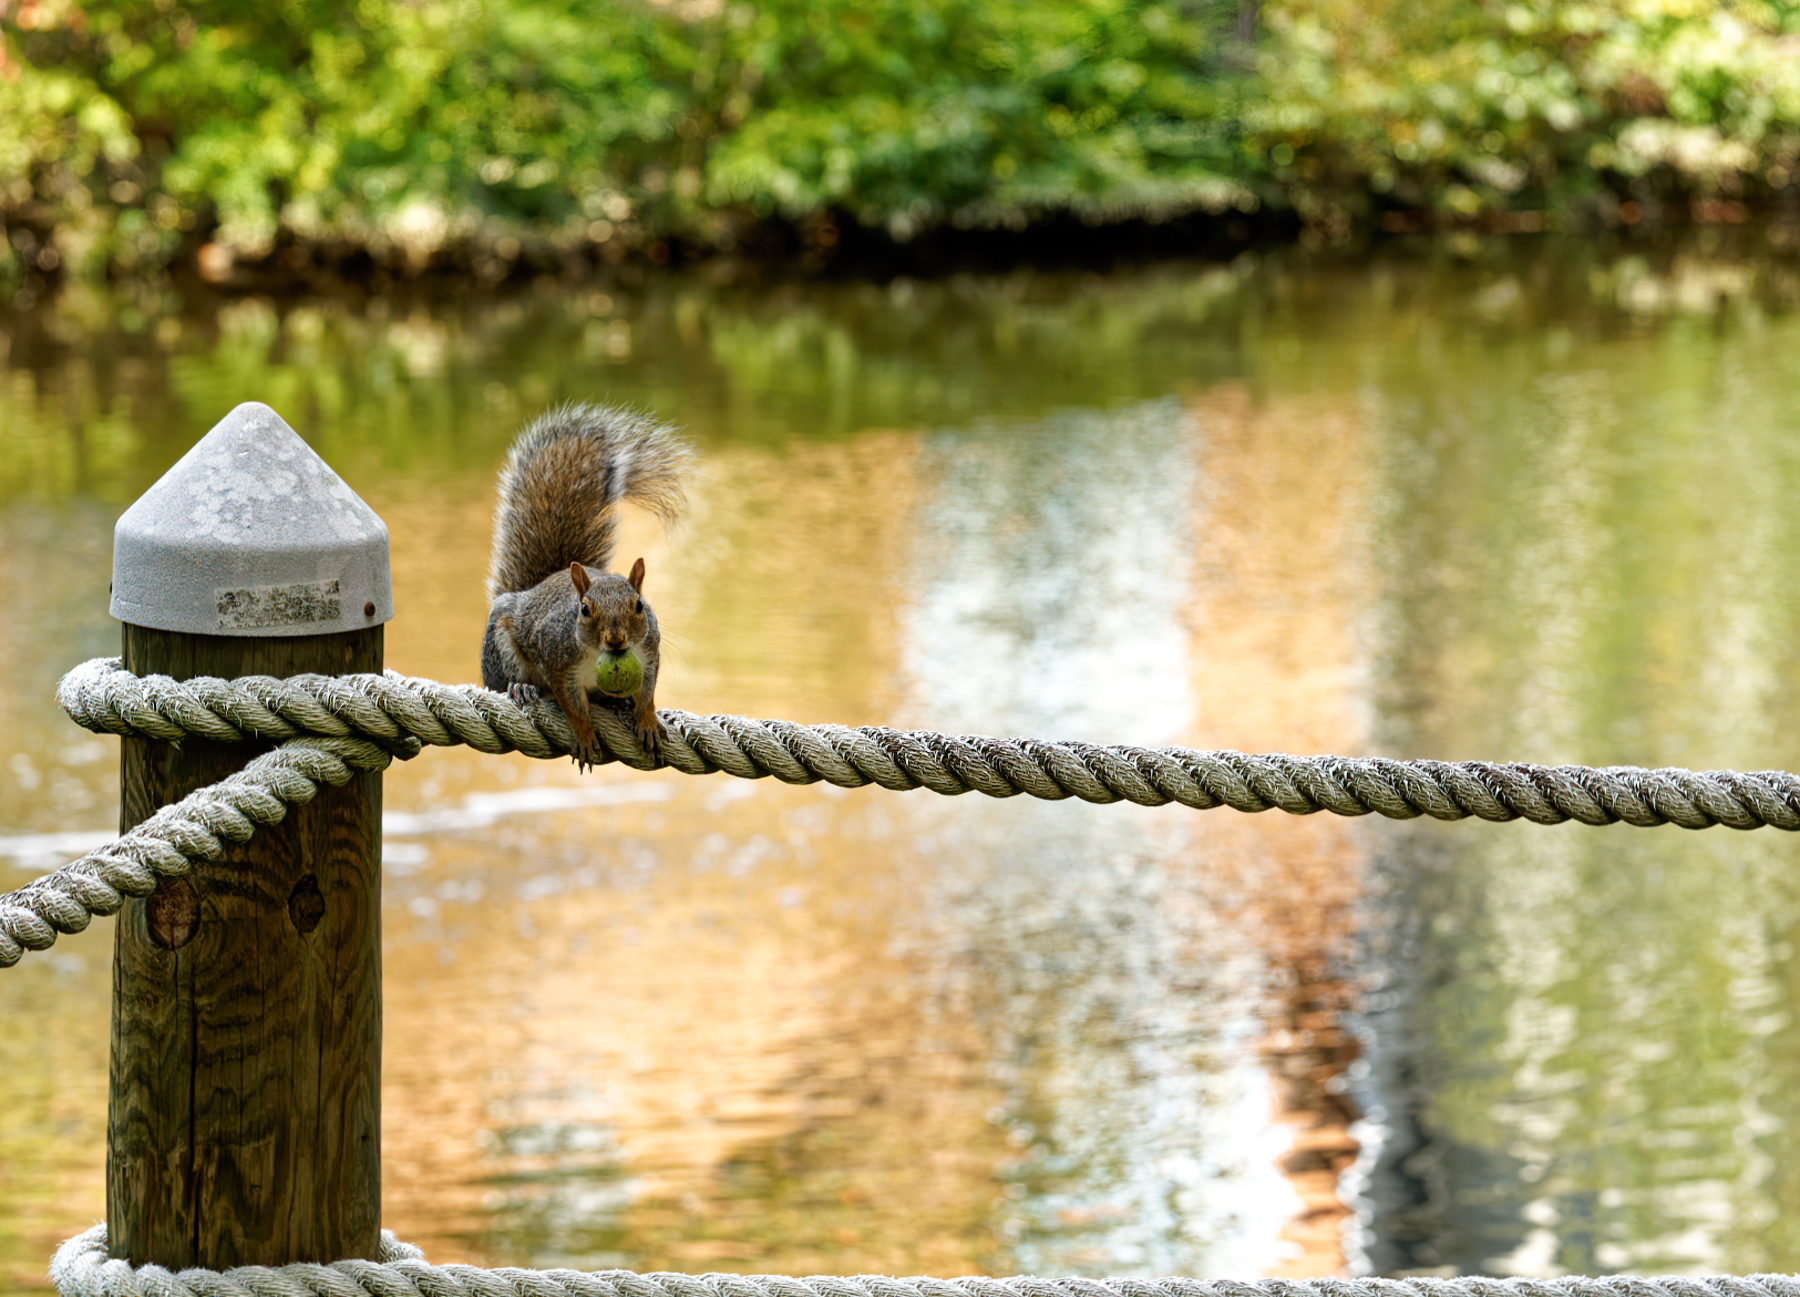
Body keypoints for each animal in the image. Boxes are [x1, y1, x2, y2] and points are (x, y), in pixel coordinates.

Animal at [482, 402, 691, 769]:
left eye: (639, 605)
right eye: (584, 610)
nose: (616, 638)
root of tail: (529, 590)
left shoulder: (649, 652)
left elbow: (648, 692)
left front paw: (646, 721)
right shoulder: (557, 663)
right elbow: (572, 707)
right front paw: (584, 734)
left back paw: (617, 703)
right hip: (501, 648)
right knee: (506, 679)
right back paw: (520, 688)